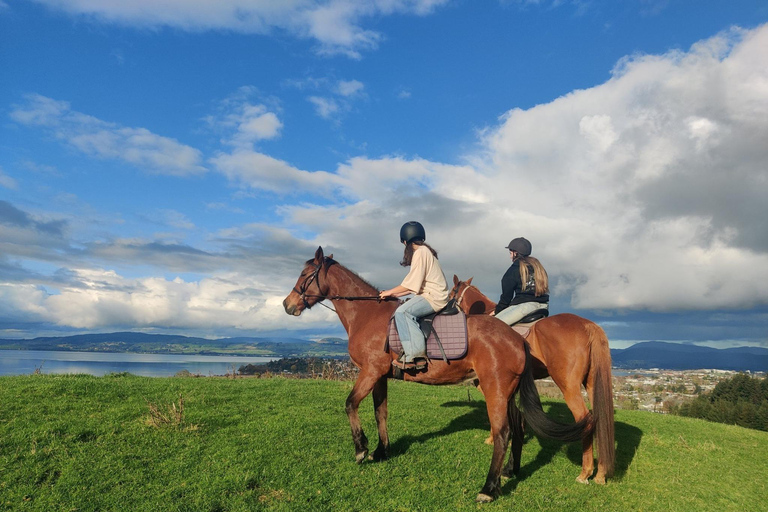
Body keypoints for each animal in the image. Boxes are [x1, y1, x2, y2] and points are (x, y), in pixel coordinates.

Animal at [283, 247, 593, 502]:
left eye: (305, 274)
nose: (287, 305)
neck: (367, 314)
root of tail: (517, 338)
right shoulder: (380, 376)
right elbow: (380, 412)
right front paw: (381, 452)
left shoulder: (370, 372)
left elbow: (350, 404)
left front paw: (360, 449)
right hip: (509, 392)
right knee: (516, 429)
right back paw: (511, 472)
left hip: (496, 389)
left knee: (502, 433)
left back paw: (488, 488)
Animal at [450, 276, 615, 484]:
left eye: (451, 293)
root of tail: (588, 325)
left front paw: (493, 439)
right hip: (593, 385)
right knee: (600, 421)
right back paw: (600, 473)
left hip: (569, 387)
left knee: (586, 420)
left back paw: (585, 472)